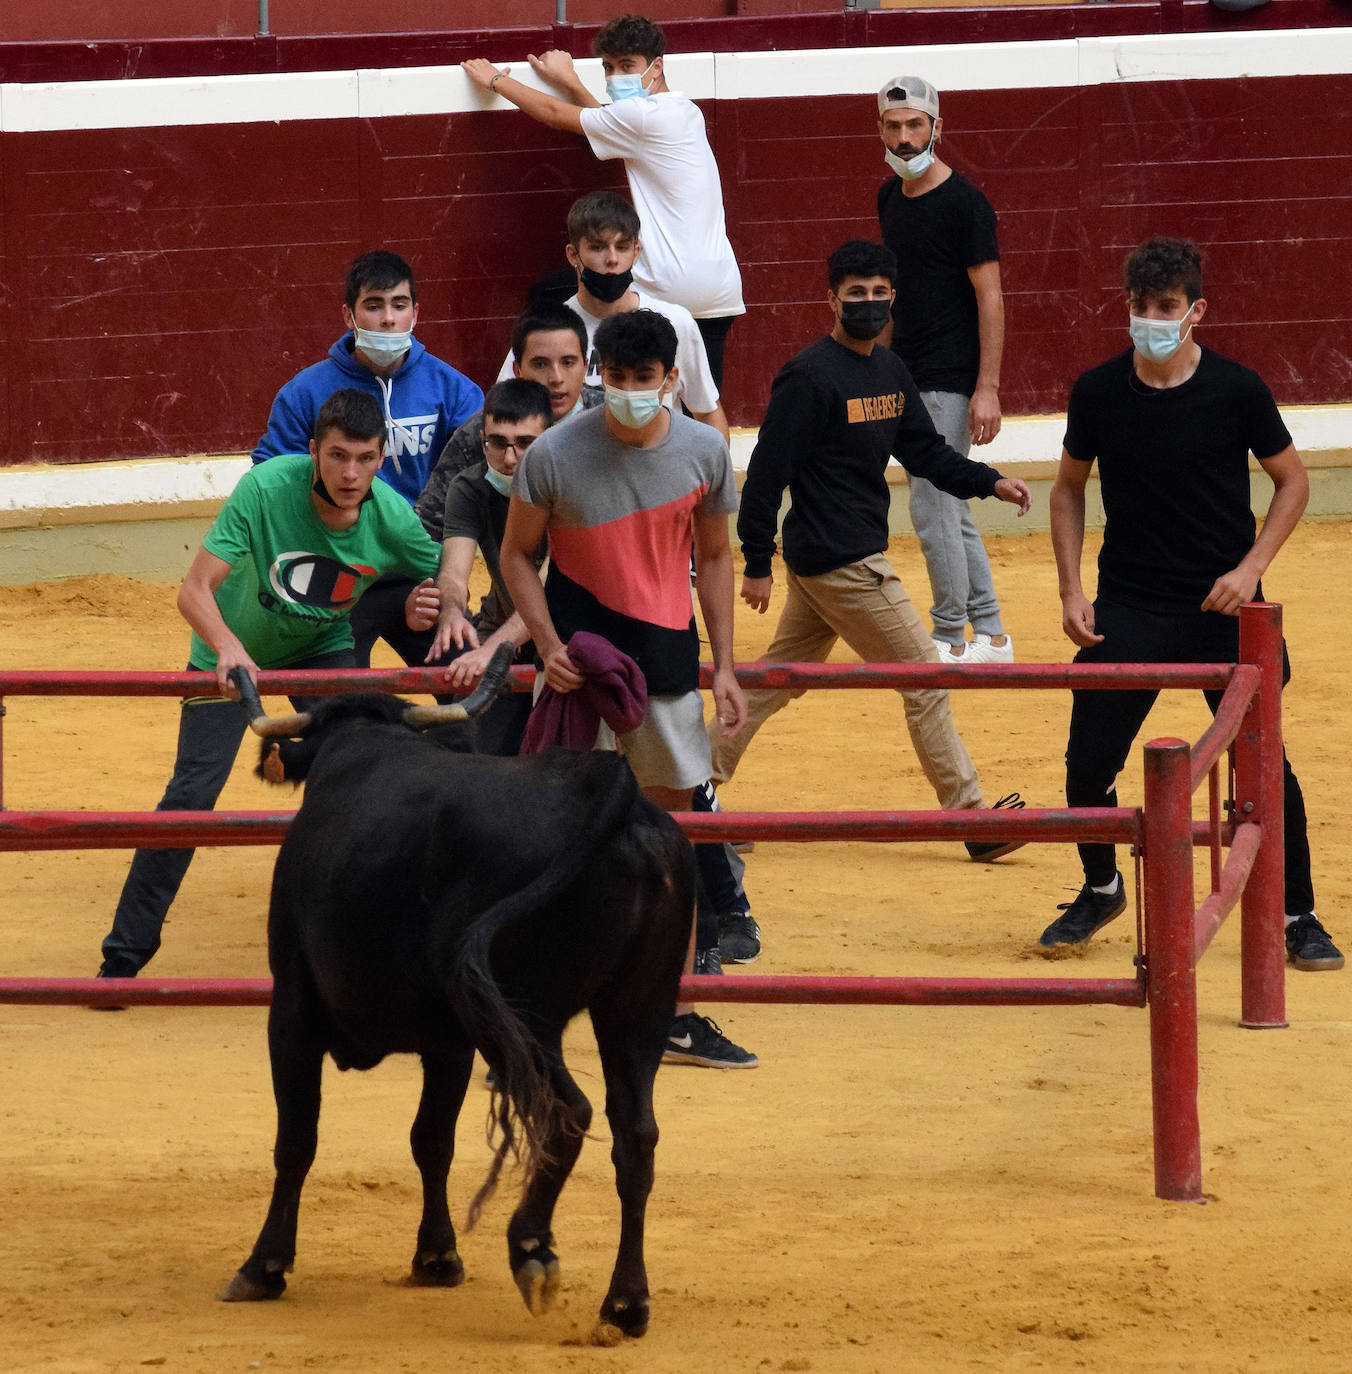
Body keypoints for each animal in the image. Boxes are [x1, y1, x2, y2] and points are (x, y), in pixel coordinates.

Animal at [221, 692, 697, 1335]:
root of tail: (606, 789)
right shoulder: (449, 1043)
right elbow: (432, 1140)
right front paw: (437, 1256)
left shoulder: (292, 1009)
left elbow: (297, 1139)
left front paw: (264, 1265)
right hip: (637, 1008)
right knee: (636, 1137)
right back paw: (625, 1304)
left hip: (529, 1016)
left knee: (568, 1111)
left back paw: (532, 1248)